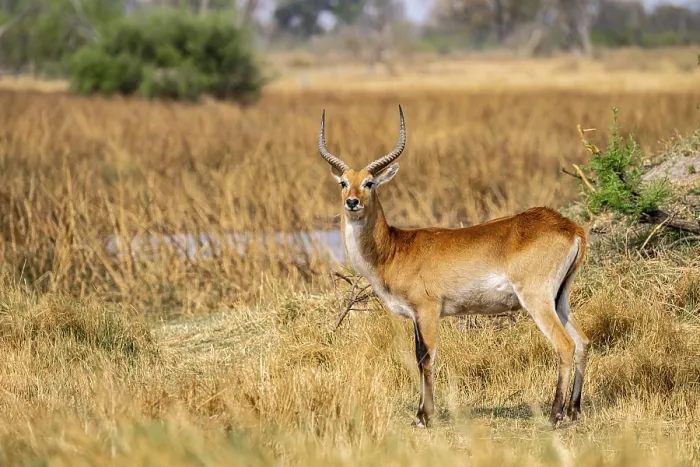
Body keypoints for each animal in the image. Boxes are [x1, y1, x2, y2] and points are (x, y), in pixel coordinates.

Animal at [318, 105, 590, 428]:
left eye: (370, 182)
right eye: (343, 182)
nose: (352, 202)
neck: (395, 249)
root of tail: (570, 227)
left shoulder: (428, 311)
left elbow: (426, 357)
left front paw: (424, 416)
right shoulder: (416, 316)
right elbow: (419, 355)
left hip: (537, 300)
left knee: (565, 345)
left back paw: (554, 414)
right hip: (560, 299)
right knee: (583, 342)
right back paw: (574, 411)